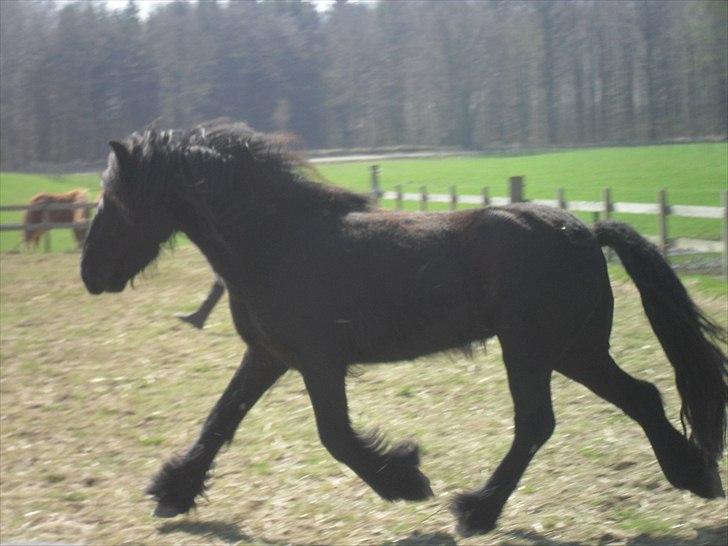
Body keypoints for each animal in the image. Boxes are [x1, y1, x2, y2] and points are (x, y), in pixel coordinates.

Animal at [80, 122, 726, 537]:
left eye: (116, 200)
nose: (89, 274)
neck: (278, 241)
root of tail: (587, 232)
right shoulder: (268, 355)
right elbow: (220, 420)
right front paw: (171, 491)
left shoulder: (318, 360)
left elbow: (335, 437)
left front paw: (406, 480)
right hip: (572, 350)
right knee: (641, 396)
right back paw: (694, 475)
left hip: (535, 349)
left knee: (540, 423)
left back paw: (476, 511)